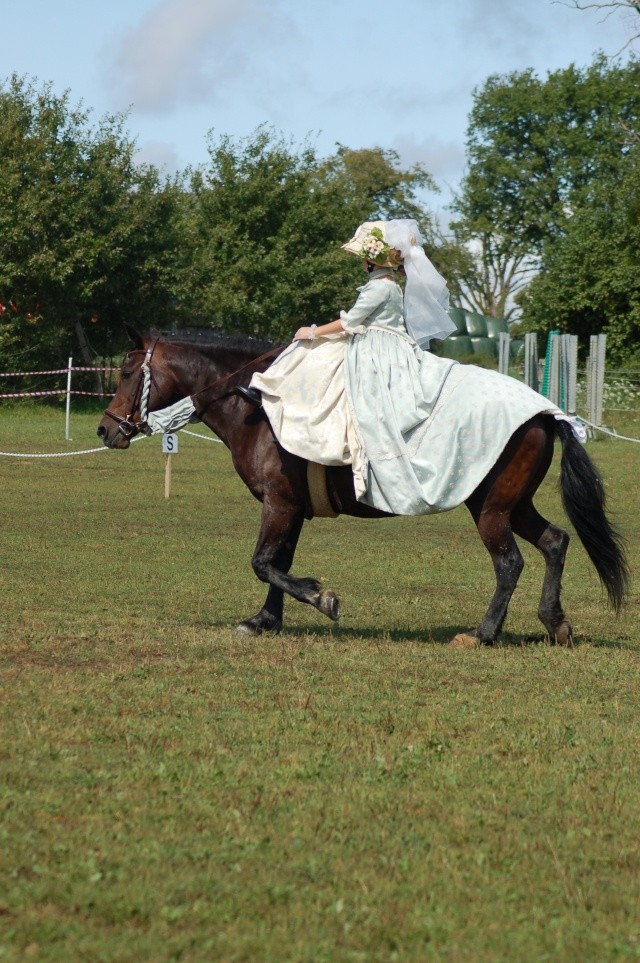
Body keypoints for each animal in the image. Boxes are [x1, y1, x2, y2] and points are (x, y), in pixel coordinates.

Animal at [97, 328, 628, 652]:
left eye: (125, 373)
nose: (105, 430)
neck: (256, 407)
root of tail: (545, 412)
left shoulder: (279, 504)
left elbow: (263, 563)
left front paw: (320, 598)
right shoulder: (291, 508)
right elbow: (277, 563)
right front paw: (265, 620)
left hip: (491, 509)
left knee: (510, 563)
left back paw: (483, 633)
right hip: (513, 504)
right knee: (555, 542)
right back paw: (554, 622)